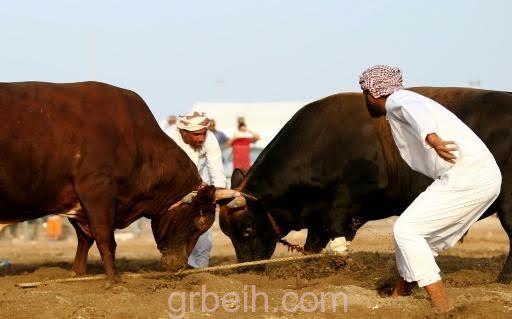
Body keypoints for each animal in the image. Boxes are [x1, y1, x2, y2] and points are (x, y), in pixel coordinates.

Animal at [0, 82, 241, 284]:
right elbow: (105, 237)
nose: (178, 266)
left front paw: (77, 273)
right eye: (199, 223)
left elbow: (84, 239)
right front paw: (114, 279)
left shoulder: (79, 203)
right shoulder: (96, 190)